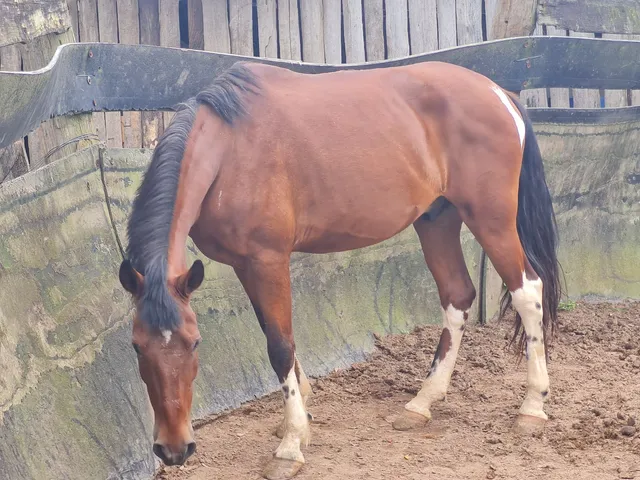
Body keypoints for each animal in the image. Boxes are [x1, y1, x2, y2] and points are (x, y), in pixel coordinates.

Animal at [118, 59, 561, 480]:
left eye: (195, 344)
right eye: (137, 346)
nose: (174, 449)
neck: (230, 148)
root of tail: (499, 94)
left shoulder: (267, 259)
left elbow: (279, 346)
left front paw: (291, 445)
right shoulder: (246, 264)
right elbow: (275, 334)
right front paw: (298, 420)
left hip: (491, 220)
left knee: (527, 291)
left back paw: (532, 407)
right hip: (437, 219)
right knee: (457, 296)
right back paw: (422, 402)